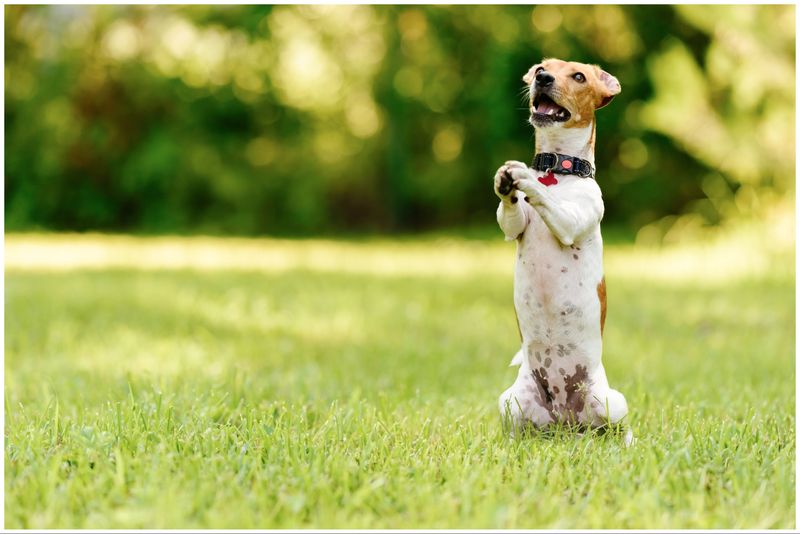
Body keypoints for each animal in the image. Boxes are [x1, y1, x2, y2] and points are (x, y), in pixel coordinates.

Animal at [494, 58, 632, 444]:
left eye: (579, 76)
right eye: (542, 67)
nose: (542, 78)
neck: (557, 170)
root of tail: (565, 421)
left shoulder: (570, 221)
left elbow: (548, 201)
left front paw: (525, 178)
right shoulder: (513, 227)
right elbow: (510, 214)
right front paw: (506, 183)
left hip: (611, 402)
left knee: (622, 429)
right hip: (510, 402)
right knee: (518, 428)